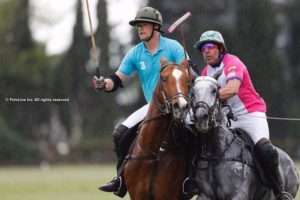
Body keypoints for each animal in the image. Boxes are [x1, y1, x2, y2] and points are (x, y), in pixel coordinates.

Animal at [123, 59, 192, 200]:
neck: (153, 152)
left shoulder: (168, 195)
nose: (181, 106)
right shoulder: (137, 195)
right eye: (164, 78)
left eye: (188, 80)